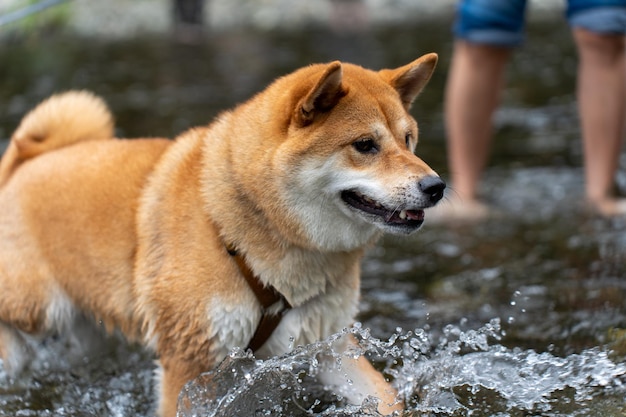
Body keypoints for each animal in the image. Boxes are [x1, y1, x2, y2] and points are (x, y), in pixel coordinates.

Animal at [0, 53, 442, 414]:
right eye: (365, 145)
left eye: (408, 140)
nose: (436, 186)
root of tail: (26, 160)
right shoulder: (189, 361)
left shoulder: (328, 345)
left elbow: (386, 398)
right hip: (37, 307)